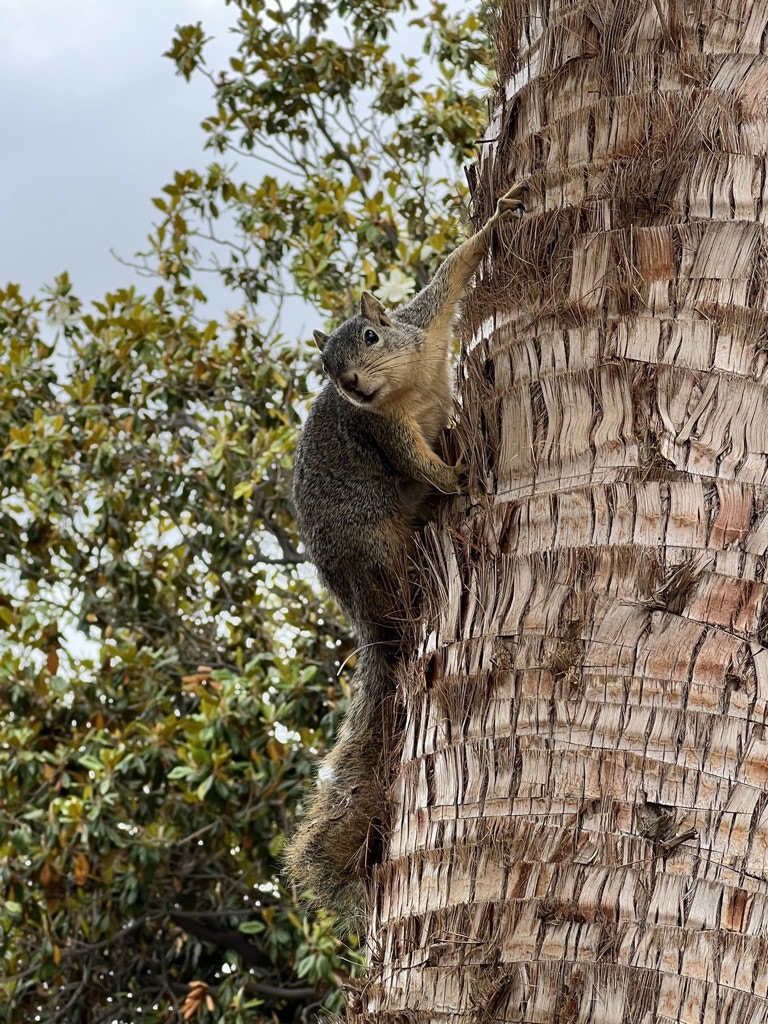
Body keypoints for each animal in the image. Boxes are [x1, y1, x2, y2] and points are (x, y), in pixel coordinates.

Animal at [284, 184, 528, 913]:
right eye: (325, 368)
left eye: (370, 335)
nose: (351, 384)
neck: (401, 386)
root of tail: (356, 605)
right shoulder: (383, 430)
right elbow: (414, 461)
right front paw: (455, 476)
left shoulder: (427, 327)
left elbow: (451, 270)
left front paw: (501, 212)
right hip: (373, 536)